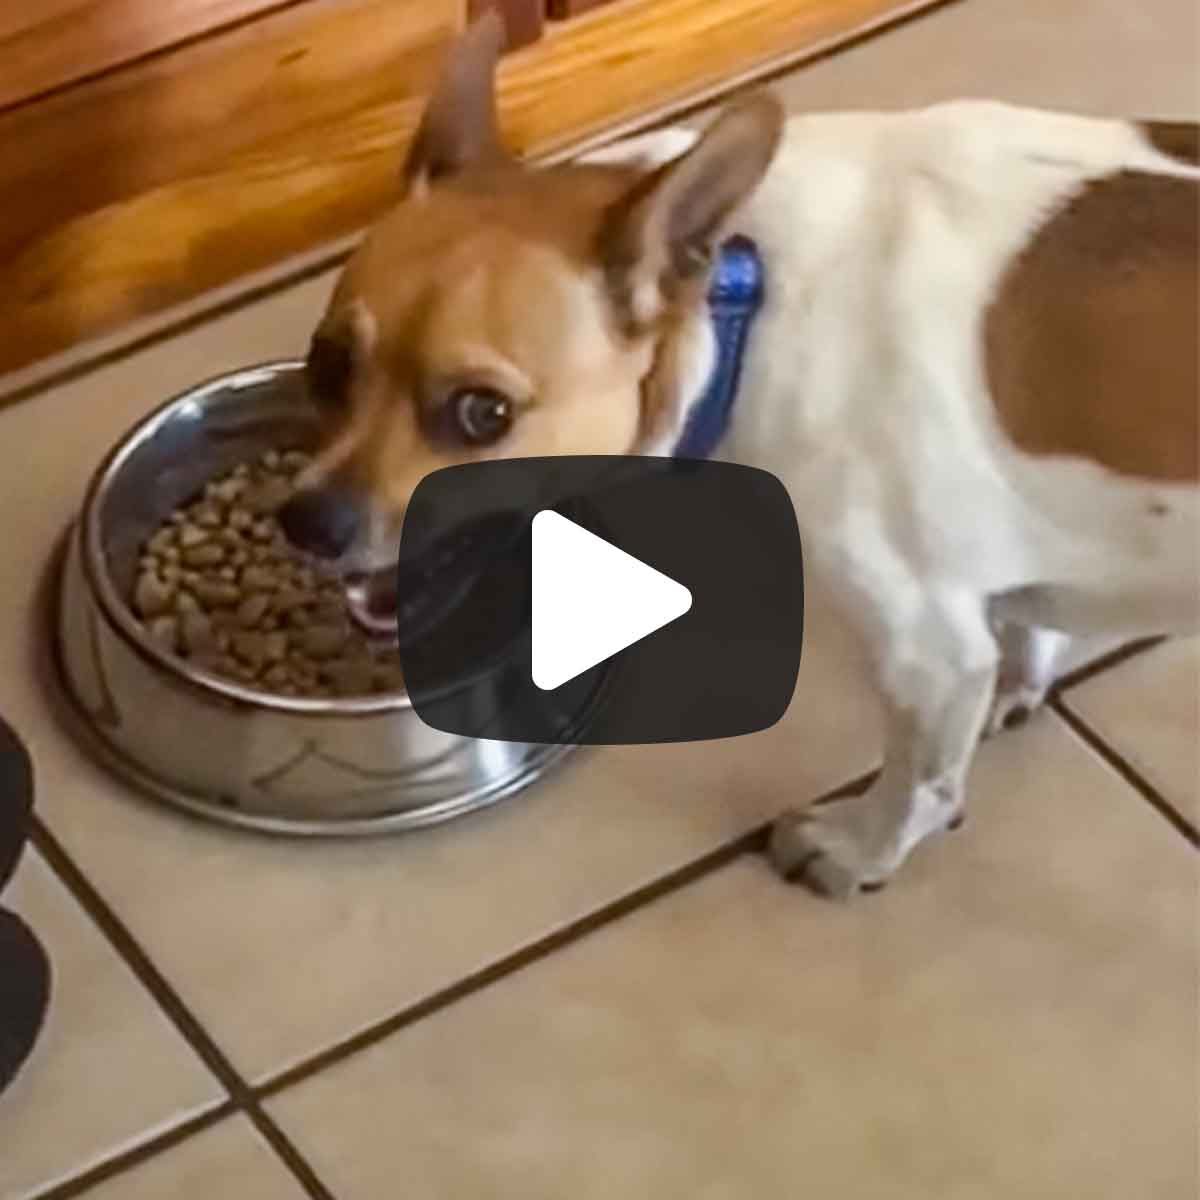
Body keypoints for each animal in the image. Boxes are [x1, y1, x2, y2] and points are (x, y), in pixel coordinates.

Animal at [276, 14, 1195, 897]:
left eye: (482, 415)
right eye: (327, 363)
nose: (306, 522)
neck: (742, 290)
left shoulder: (927, 654)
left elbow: (917, 786)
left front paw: (857, 850)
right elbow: (1031, 620)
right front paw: (1026, 672)